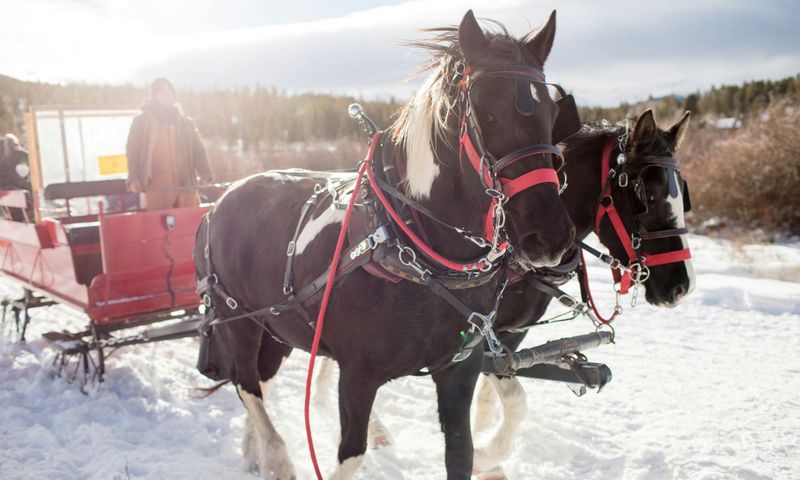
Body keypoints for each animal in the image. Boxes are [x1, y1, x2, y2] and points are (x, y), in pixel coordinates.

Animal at [194, 10, 576, 480]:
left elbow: (464, 450)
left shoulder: (460, 370)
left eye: (552, 111)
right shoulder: (358, 374)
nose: (550, 236)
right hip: (239, 321)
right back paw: (277, 456)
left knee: (257, 381)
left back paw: (254, 451)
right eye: (485, 112)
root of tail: (219, 200)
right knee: (246, 384)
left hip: (277, 327)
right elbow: (351, 453)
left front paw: (488, 454)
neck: (417, 248)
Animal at [316, 109, 697, 478]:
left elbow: (492, 395)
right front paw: (487, 453)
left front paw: (483, 442)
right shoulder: (486, 334)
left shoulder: (510, 334)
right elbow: (515, 398)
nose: (682, 286)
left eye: (684, 196)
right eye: (645, 197)